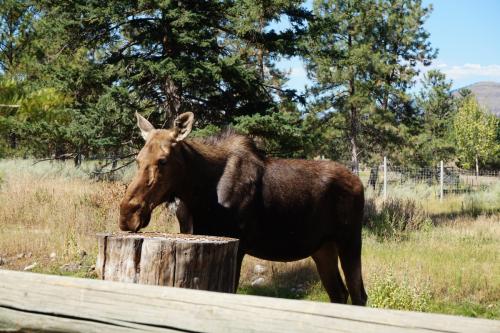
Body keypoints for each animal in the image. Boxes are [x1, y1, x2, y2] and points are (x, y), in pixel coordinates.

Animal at [118, 112, 368, 306]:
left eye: (163, 160)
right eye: (138, 159)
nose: (127, 214)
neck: (197, 194)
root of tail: (359, 183)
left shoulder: (237, 245)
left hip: (350, 240)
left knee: (359, 294)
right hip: (323, 248)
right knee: (339, 293)